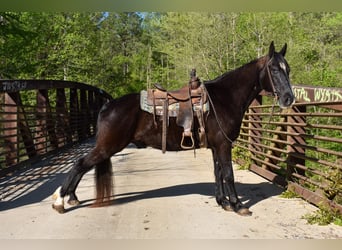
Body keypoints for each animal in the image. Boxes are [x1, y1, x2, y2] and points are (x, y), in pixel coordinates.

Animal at [52, 41, 296, 215]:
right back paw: (60, 201)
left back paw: (71, 197)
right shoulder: (224, 145)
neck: (223, 99)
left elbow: (218, 173)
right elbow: (228, 174)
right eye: (274, 69)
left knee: (82, 166)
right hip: (107, 146)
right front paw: (237, 205)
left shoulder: (216, 146)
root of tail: (108, 105)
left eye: (289, 69)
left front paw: (223, 202)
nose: (288, 98)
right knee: (80, 164)